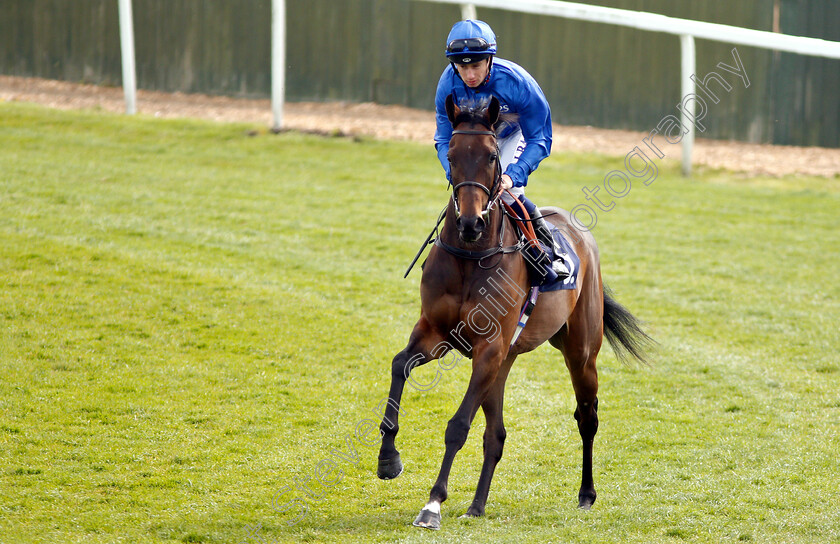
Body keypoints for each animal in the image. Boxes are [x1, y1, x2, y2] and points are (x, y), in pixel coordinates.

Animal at [378, 95, 652, 528]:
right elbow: (399, 366)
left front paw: (433, 504)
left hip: (579, 352)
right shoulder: (437, 333)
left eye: (492, 156)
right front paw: (388, 459)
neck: (471, 256)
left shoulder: (488, 349)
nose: (470, 223)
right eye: (451, 155)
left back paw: (586, 494)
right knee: (497, 435)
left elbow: (458, 425)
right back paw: (477, 505)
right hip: (503, 363)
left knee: (587, 417)